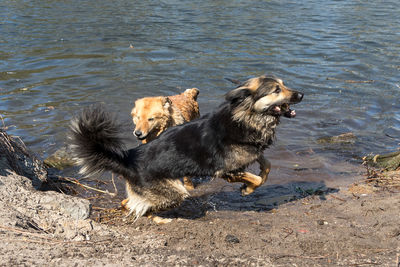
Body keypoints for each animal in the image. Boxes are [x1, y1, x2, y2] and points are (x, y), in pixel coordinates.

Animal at [70, 75, 304, 224]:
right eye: (276, 90)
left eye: (284, 85)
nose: (301, 94)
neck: (245, 117)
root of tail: (128, 159)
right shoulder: (225, 171)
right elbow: (255, 178)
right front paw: (247, 189)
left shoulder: (252, 152)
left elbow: (266, 165)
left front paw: (254, 182)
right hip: (174, 194)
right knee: (142, 207)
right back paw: (159, 219)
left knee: (128, 203)